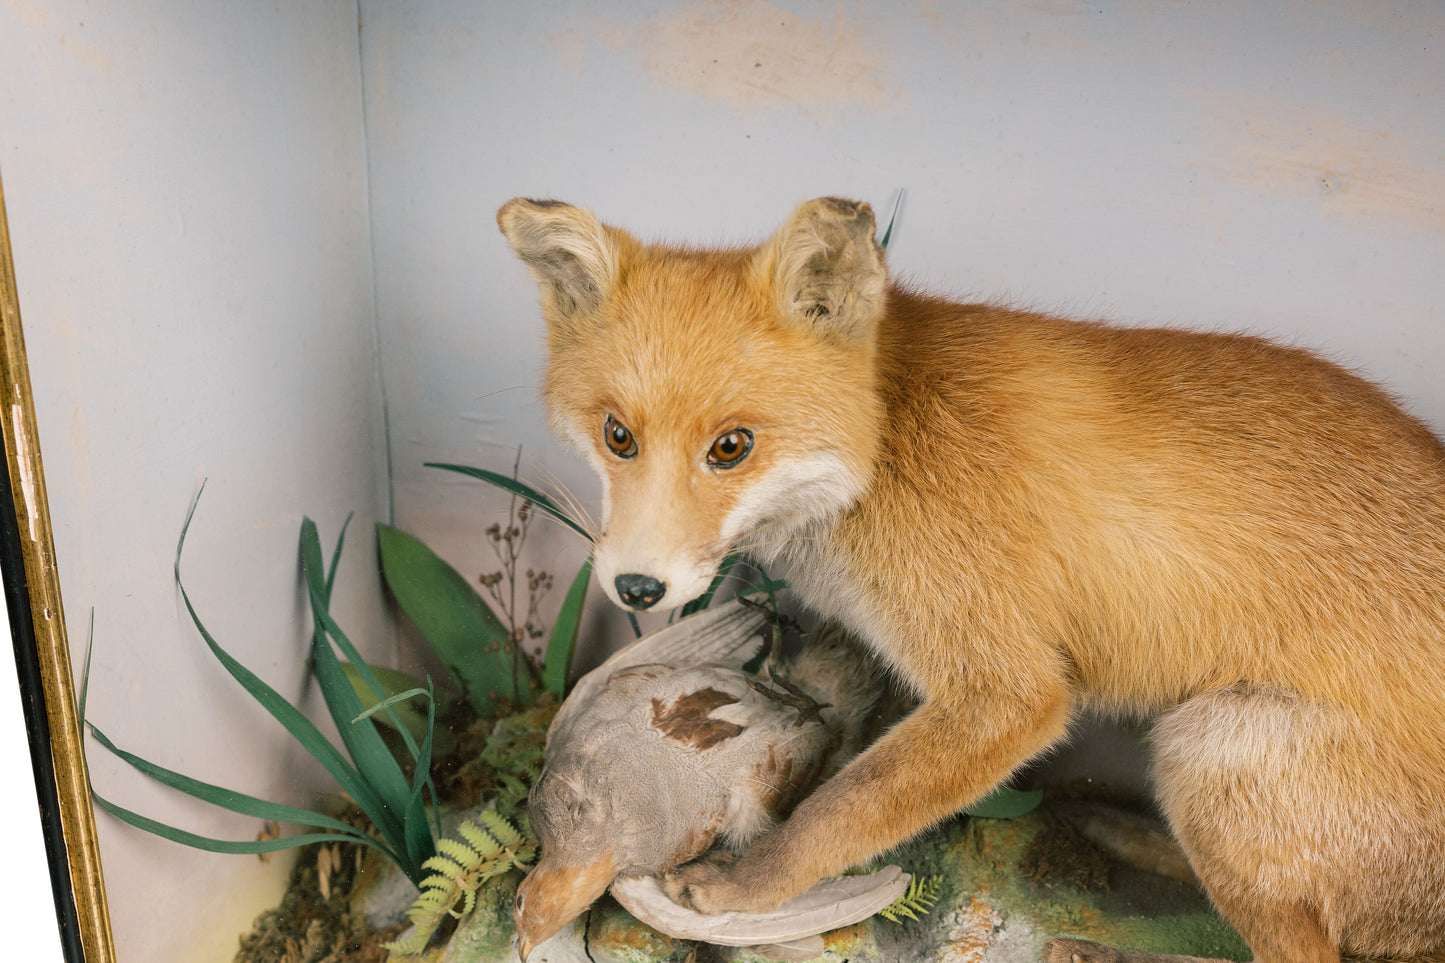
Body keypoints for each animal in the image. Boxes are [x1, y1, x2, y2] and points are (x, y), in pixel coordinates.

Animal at [497, 196, 1445, 960]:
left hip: (1211, 744)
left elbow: (843, 808)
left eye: (731, 446)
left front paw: (748, 885)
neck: (885, 442)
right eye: (618, 436)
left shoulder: (1005, 690)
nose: (638, 590)